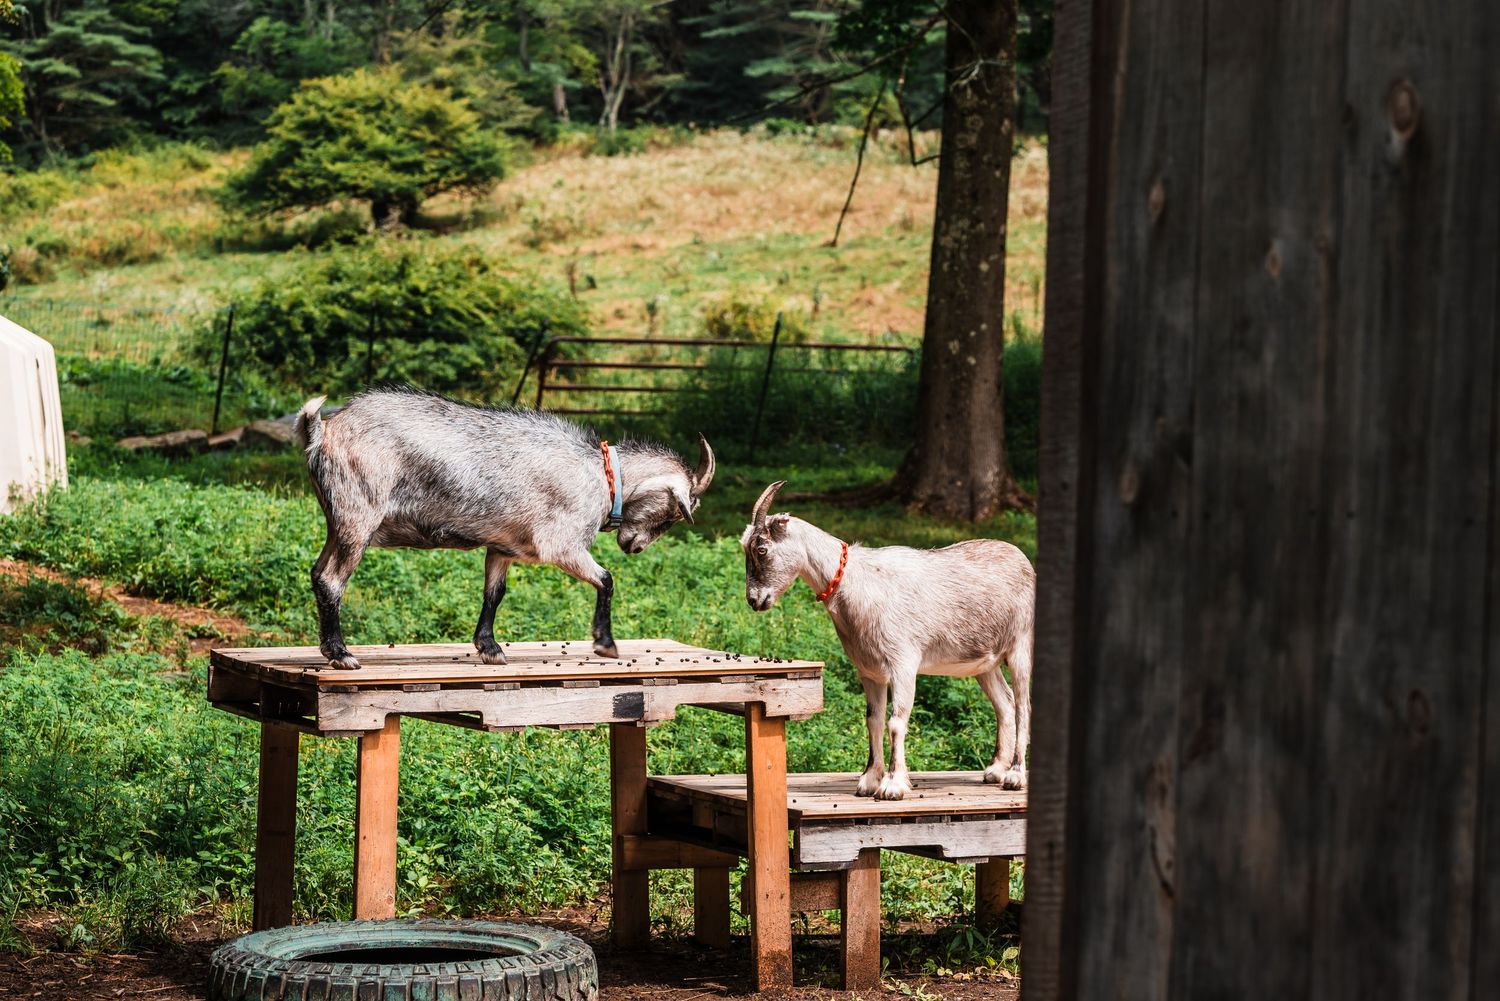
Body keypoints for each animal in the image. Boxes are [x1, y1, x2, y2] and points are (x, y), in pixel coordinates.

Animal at [294, 386, 715, 669]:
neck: (602, 475)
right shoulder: (561, 545)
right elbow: (606, 578)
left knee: (317, 573)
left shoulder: (503, 546)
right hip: (358, 516)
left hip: (337, 522)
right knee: (333, 579)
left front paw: (489, 648)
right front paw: (605, 643)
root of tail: (323, 431)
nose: (634, 546)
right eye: (675, 513)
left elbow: (494, 594)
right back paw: (341, 654)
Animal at [740, 481, 1034, 800]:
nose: (754, 600)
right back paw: (995, 770)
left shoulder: (903, 663)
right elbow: (873, 720)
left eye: (761, 548)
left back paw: (1015, 776)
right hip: (985, 663)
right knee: (1004, 702)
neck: (859, 583)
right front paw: (869, 780)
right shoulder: (869, 672)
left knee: (1022, 706)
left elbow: (896, 721)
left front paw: (892, 785)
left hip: (1020, 645)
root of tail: (1022, 559)